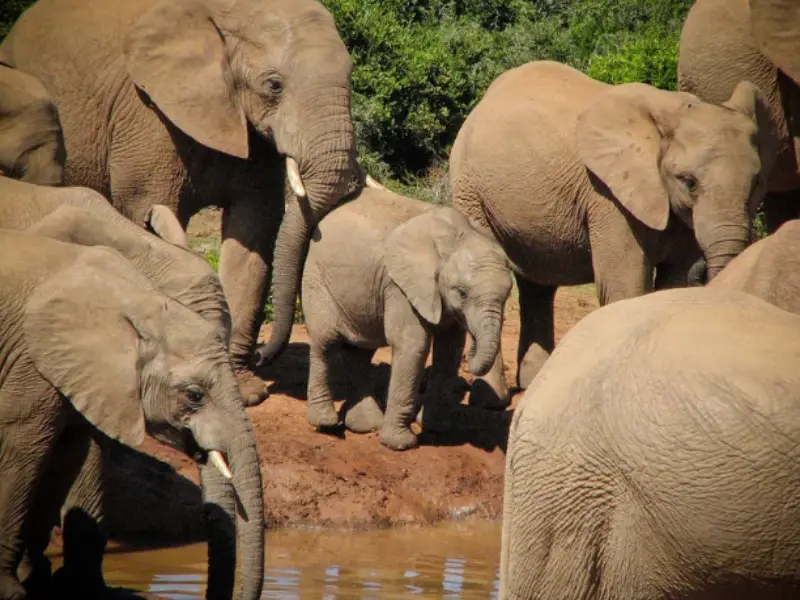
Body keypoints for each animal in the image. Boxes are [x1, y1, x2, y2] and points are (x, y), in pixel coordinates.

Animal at [0, 0, 371, 407]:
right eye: (274, 85)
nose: (263, 354)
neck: (232, 13)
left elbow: (254, 232)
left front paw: (245, 391)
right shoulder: (146, 111)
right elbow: (152, 209)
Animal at [0, 230, 265, 600]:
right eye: (194, 395)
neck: (141, 302)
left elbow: (65, 455)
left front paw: (38, 579)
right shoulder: (29, 363)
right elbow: (23, 454)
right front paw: (11, 590)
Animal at [279, 188, 513, 451]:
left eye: (507, 295)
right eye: (461, 292)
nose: (473, 355)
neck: (455, 237)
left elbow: (450, 350)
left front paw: (436, 427)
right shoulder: (399, 285)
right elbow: (413, 344)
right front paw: (400, 444)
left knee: (361, 351)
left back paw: (367, 425)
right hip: (317, 278)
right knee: (325, 342)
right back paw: (326, 423)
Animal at [449, 60, 780, 402]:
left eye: (757, 183)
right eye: (689, 182)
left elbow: (672, 283)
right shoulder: (607, 196)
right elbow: (625, 285)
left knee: (537, 285)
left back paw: (532, 383)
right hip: (470, 189)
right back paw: (491, 401)